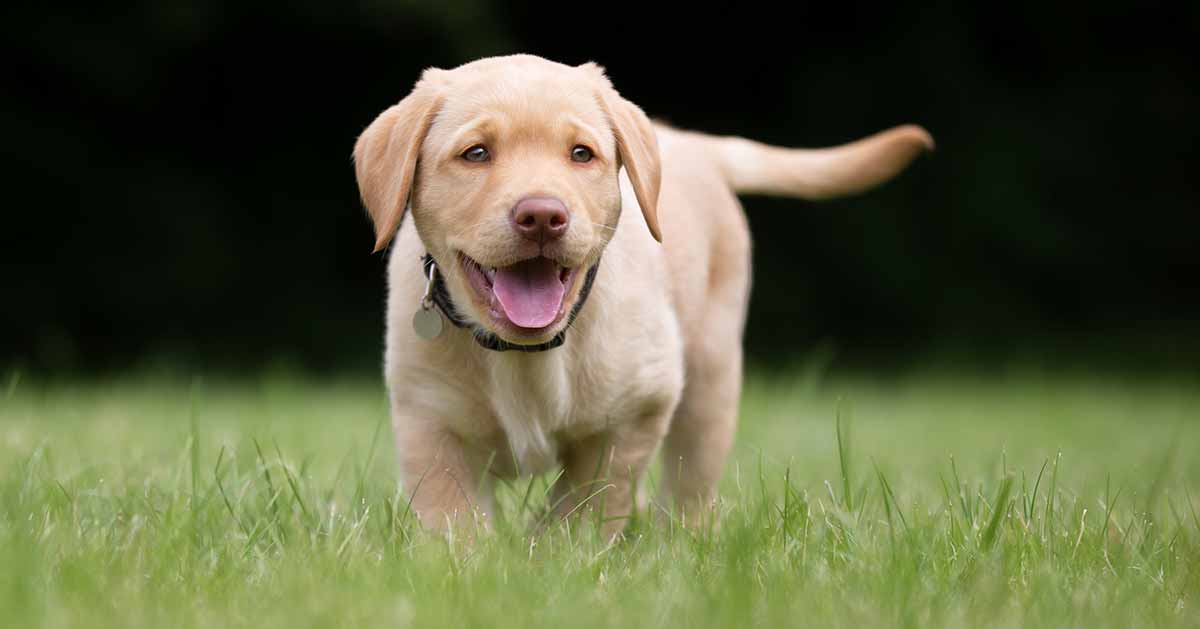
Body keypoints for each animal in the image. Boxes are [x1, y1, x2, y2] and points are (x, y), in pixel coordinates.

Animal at [350, 54, 931, 537]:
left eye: (580, 153)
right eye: (475, 153)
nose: (542, 215)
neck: (525, 352)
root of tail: (691, 142)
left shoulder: (634, 412)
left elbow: (584, 504)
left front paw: (553, 554)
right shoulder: (429, 422)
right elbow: (454, 520)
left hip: (710, 380)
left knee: (690, 486)